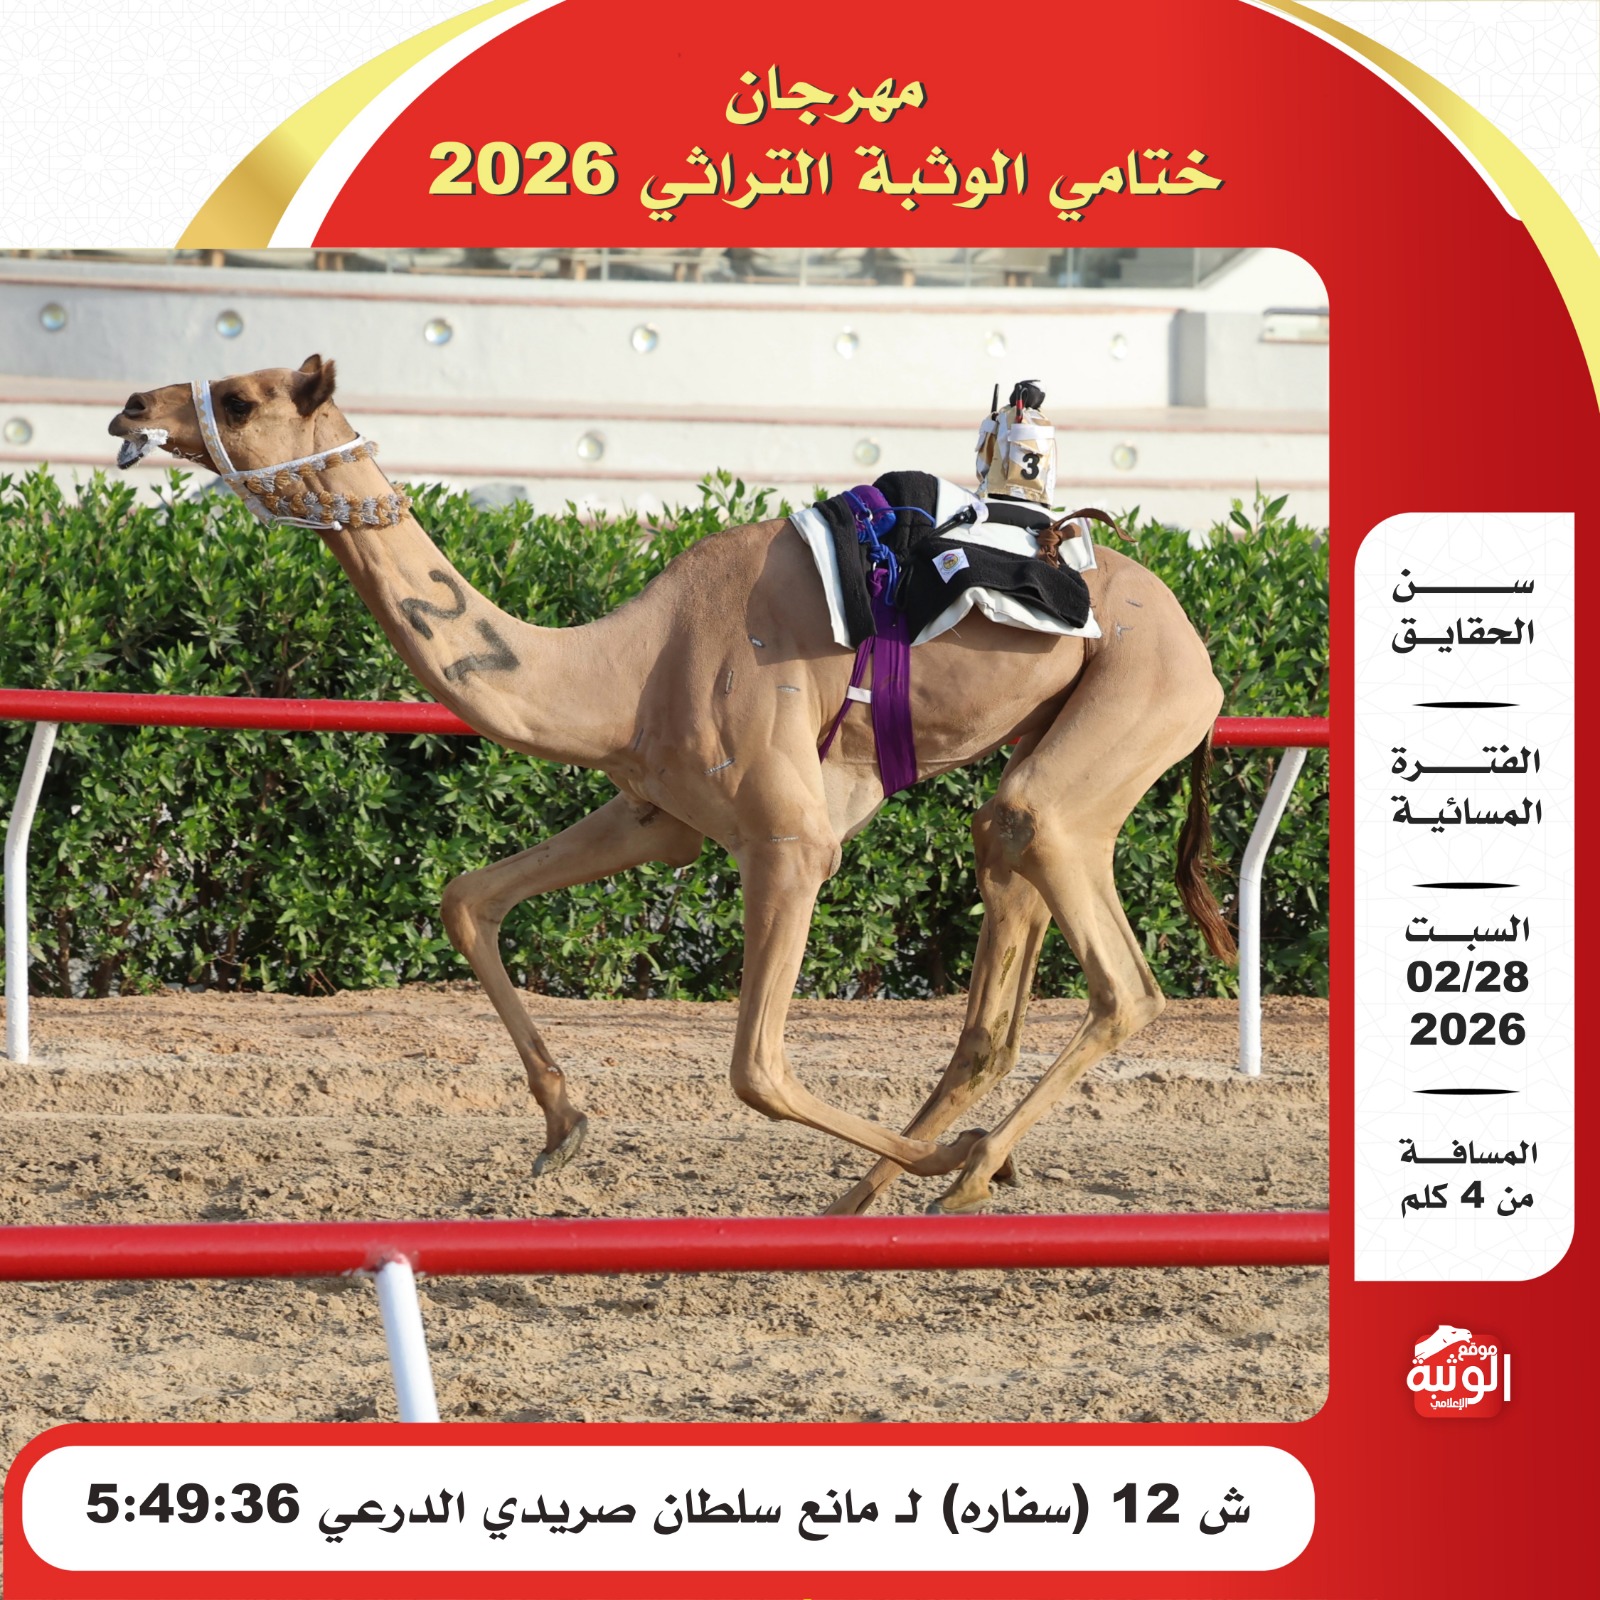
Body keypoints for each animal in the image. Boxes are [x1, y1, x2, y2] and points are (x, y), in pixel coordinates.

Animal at [107, 356, 1235, 1216]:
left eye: (241, 398)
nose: (131, 408)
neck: (625, 665)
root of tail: (1199, 644)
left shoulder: (790, 844)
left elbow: (757, 1069)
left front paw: (960, 1160)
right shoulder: (659, 812)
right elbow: (468, 896)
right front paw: (562, 1124)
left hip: (1133, 703)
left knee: (1113, 967)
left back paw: (963, 1173)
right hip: (1040, 751)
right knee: (991, 987)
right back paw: (879, 1195)